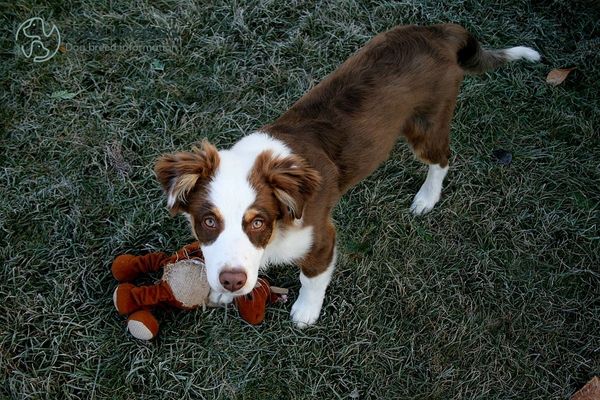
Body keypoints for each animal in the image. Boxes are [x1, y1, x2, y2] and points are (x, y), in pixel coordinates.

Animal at [155, 23, 540, 326]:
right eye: (207, 222)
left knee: (442, 159)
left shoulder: (321, 236)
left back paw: (427, 198)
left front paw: (305, 313)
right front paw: (224, 293)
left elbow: (312, 277)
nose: (231, 282)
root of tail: (438, 31)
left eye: (258, 222)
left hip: (427, 124)